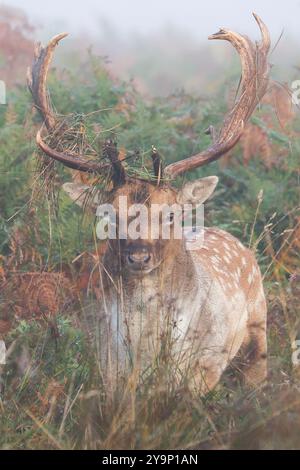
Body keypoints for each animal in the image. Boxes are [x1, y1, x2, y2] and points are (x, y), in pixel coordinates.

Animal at [28, 13, 270, 392]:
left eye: (171, 214)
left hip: (260, 327)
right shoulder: (106, 368)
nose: (139, 256)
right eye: (109, 215)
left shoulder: (204, 368)